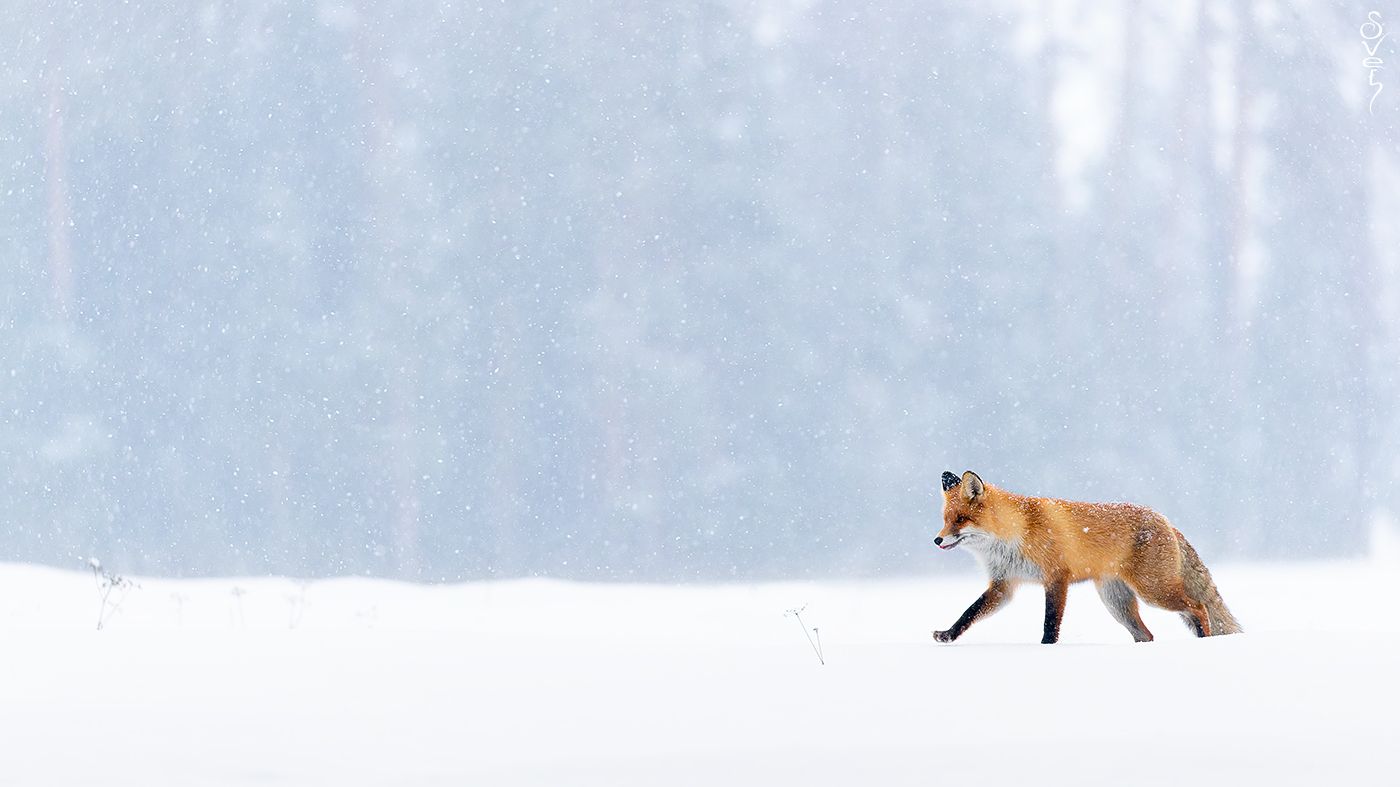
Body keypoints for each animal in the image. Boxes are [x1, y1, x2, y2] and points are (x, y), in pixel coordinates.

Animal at [935, 467, 1243, 641]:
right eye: (945, 519)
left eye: (960, 519)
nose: (937, 540)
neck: (1015, 533)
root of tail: (1166, 520)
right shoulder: (1004, 584)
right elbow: (969, 612)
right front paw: (948, 635)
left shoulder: (1056, 577)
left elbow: (1050, 623)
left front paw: (1046, 649)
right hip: (1116, 603)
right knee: (1147, 634)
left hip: (1154, 591)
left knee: (1199, 608)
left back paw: (1205, 641)